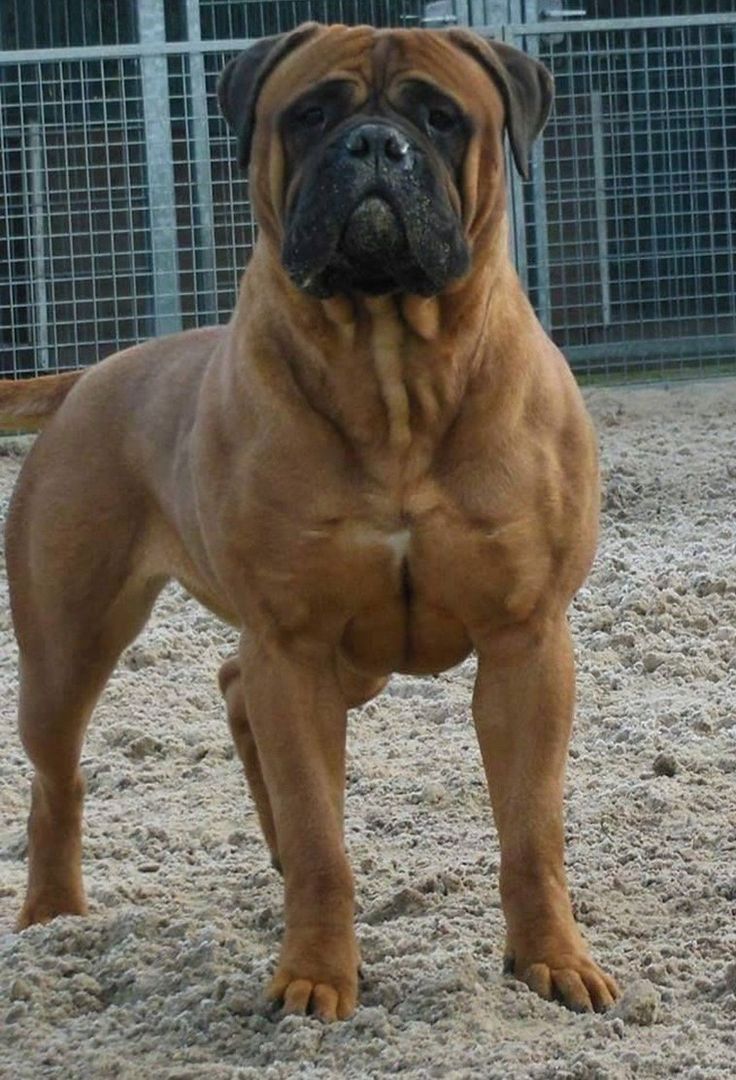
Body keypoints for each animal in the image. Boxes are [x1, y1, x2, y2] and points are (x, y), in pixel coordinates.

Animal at [2, 25, 618, 1019]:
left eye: (441, 118)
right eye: (312, 113)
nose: (373, 145)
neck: (392, 367)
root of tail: (92, 374)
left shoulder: (525, 640)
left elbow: (531, 830)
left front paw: (552, 960)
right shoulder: (293, 643)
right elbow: (325, 839)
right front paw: (316, 976)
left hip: (351, 660)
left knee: (233, 688)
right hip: (69, 644)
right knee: (62, 779)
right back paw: (54, 916)